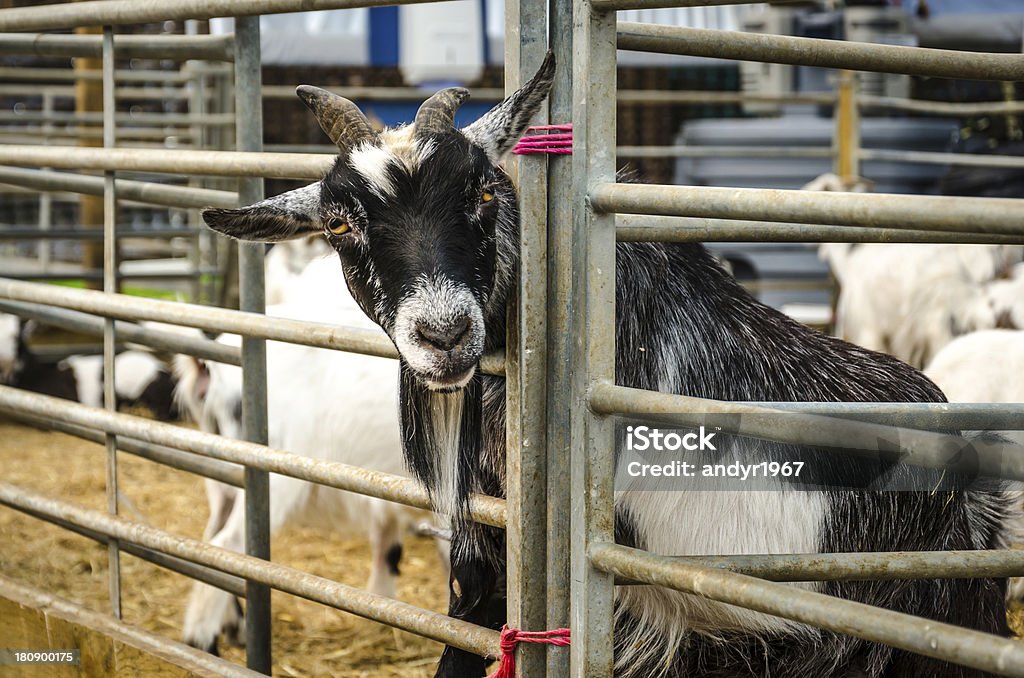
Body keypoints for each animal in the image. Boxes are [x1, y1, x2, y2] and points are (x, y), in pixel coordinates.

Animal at [171, 258, 440, 655]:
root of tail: (211, 369)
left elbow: (388, 544)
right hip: (270, 476)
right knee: (226, 545)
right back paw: (202, 643)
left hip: (221, 475)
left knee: (209, 539)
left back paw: (235, 630)